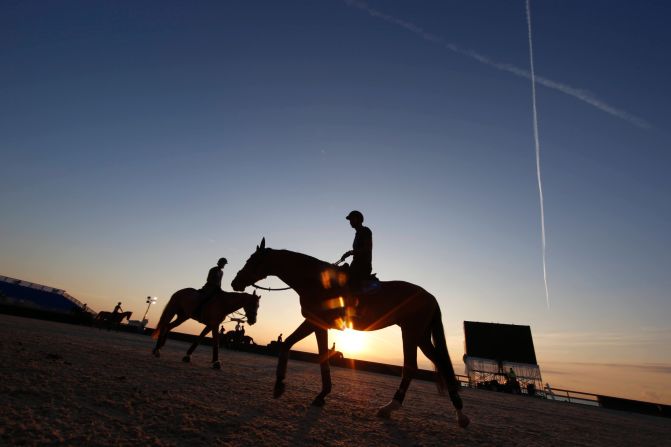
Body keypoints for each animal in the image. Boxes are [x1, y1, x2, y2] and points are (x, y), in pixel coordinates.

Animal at [234, 236, 470, 428]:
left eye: (252, 260)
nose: (235, 282)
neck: (315, 280)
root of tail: (429, 295)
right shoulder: (319, 325)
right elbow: (321, 356)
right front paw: (322, 394)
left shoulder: (313, 322)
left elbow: (287, 344)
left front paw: (279, 385)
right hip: (419, 335)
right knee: (433, 363)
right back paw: (453, 414)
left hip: (411, 333)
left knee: (416, 366)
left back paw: (397, 408)